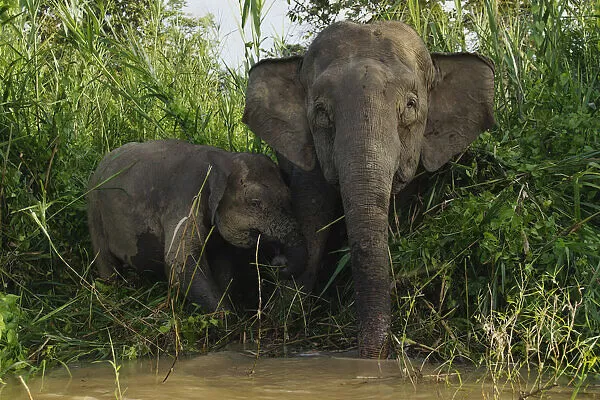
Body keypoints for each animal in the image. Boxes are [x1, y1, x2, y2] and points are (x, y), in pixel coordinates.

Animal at [86, 141, 308, 312]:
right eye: (255, 203)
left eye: (290, 197)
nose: (279, 262)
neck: (224, 159)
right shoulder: (186, 198)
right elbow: (181, 261)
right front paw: (228, 320)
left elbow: (223, 262)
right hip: (94, 208)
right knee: (105, 260)